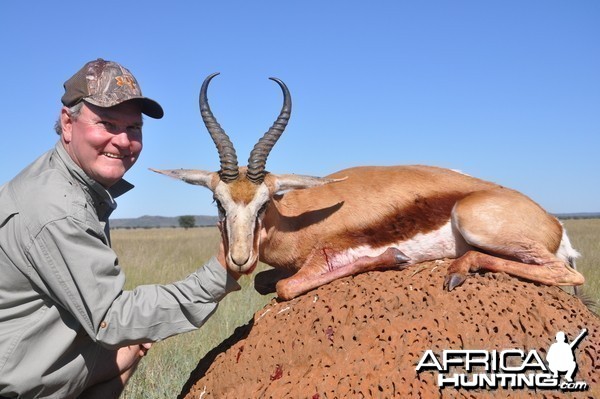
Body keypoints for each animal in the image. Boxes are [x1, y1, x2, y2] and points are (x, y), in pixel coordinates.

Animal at [151, 74, 584, 300]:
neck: (296, 220)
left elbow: (287, 287)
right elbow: (264, 283)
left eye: (264, 203)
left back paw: (458, 270)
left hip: (475, 222)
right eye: (217, 201)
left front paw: (394, 257)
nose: (240, 258)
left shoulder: (326, 256)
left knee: (568, 275)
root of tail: (556, 225)